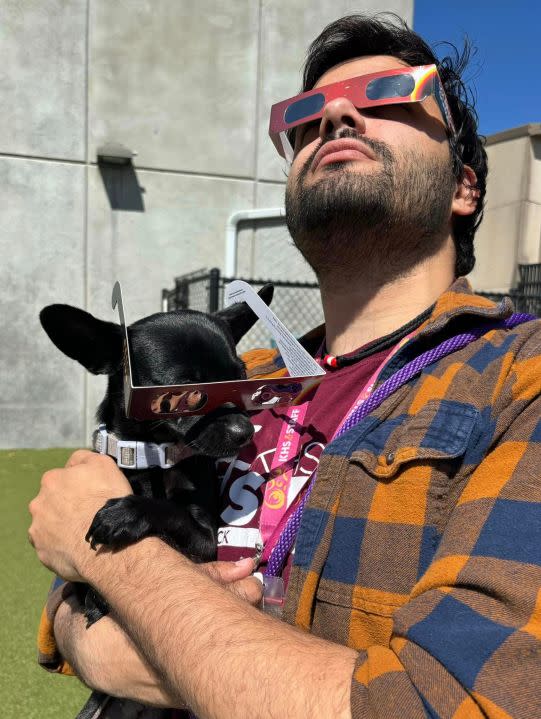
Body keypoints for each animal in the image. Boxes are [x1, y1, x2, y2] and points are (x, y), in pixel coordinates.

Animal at [40, 284, 272, 716]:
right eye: (188, 395)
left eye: (242, 379)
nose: (245, 430)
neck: (153, 459)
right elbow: (82, 583)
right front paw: (97, 598)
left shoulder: (205, 540)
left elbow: (169, 512)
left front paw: (126, 514)